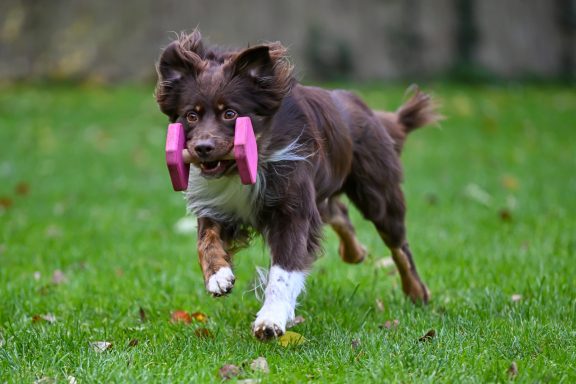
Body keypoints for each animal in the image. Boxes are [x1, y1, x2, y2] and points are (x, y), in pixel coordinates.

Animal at [155, 30, 438, 342]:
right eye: (191, 115)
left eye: (230, 113)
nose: (203, 148)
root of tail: (368, 110)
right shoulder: (219, 206)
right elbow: (205, 240)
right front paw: (218, 276)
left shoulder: (292, 208)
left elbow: (284, 270)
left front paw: (271, 319)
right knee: (337, 211)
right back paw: (354, 252)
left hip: (378, 193)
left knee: (399, 246)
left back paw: (416, 291)